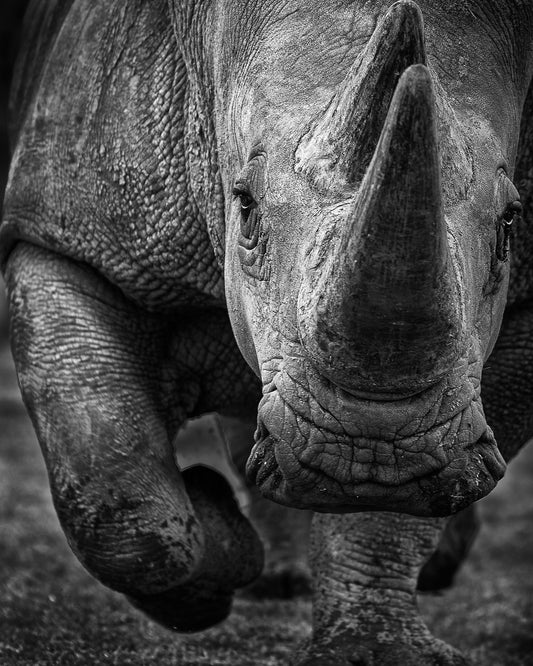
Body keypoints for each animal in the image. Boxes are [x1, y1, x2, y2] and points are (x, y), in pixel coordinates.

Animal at [2, 0, 533, 663]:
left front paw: (375, 649)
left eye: (511, 223)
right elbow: (116, 494)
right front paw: (219, 538)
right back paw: (267, 572)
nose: (371, 451)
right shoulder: (65, 234)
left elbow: (390, 515)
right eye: (246, 206)